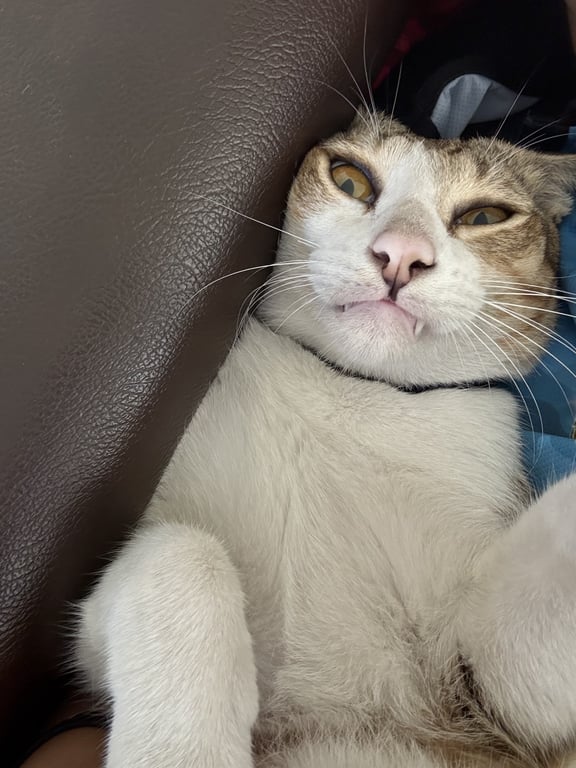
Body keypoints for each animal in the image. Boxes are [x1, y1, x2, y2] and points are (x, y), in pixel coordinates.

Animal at [76, 112, 576, 768]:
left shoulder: (496, 702)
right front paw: (182, 749)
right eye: (349, 178)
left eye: (486, 215)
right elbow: (183, 550)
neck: (351, 396)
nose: (401, 255)